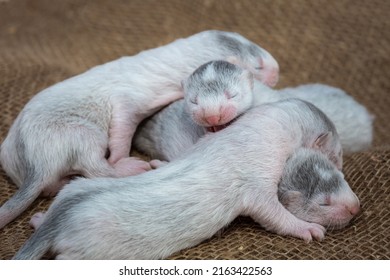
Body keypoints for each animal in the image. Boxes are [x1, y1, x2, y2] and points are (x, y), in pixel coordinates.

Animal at [0, 29, 280, 229]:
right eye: (258, 65)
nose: (277, 71)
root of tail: (35, 164)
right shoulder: (131, 95)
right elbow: (123, 119)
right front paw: (119, 156)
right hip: (78, 131)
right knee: (94, 165)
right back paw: (127, 167)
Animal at [12, 99, 360, 260]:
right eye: (337, 154)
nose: (356, 209)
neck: (263, 124)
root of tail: (60, 219)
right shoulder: (256, 177)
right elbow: (268, 210)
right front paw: (306, 227)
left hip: (76, 187)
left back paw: (39, 219)